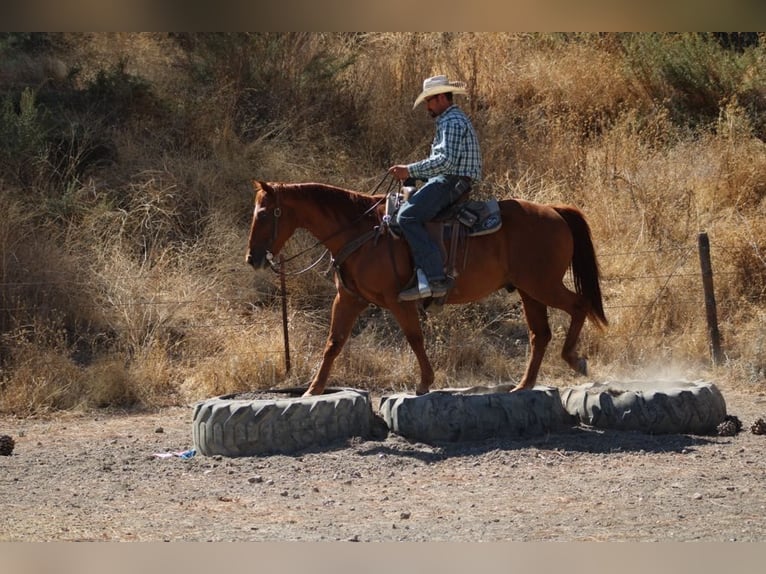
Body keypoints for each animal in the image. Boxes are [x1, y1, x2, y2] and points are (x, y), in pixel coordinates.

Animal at [245, 180, 607, 397]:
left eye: (263, 214)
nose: (252, 258)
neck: (361, 232)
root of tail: (555, 211)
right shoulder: (348, 299)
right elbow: (333, 343)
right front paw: (313, 389)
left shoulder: (398, 300)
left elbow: (414, 338)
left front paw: (424, 383)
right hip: (529, 290)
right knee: (539, 334)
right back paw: (523, 385)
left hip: (543, 285)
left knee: (579, 306)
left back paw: (573, 359)